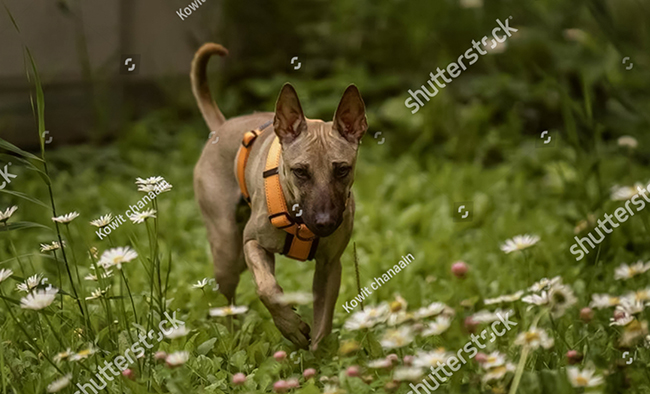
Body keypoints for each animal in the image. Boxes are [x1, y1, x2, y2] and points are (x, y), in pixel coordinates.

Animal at [190, 43, 368, 350]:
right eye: (300, 172)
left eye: (342, 169)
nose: (324, 222)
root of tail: (221, 127)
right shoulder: (252, 243)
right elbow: (267, 289)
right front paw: (291, 327)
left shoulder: (329, 267)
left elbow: (322, 324)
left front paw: (316, 357)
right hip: (227, 251)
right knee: (228, 302)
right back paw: (232, 338)